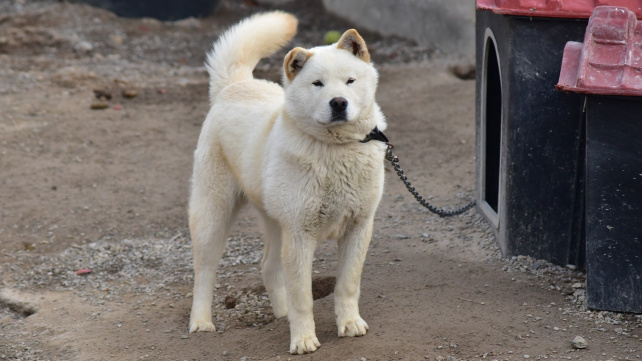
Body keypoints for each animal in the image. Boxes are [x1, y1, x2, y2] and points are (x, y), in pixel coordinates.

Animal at [185, 11, 384, 354]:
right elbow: (303, 296)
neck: (335, 150)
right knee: (205, 272)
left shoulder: (358, 227)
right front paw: (303, 339)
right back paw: (201, 322)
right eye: (317, 84)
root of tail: (235, 85)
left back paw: (282, 314)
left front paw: (349, 324)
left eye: (350, 81)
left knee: (268, 266)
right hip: (213, 217)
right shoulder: (300, 235)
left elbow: (347, 285)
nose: (338, 102)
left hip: (275, 223)